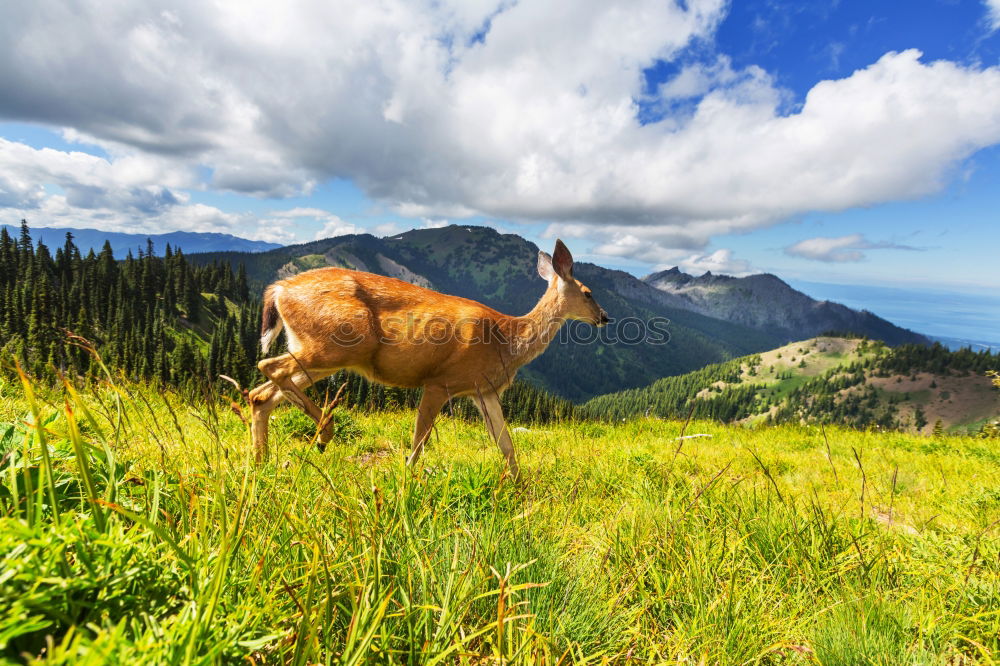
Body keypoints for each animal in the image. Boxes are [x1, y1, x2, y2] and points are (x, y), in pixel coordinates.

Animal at [250, 239, 608, 478]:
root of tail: (279, 290)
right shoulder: (439, 382)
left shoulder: (483, 390)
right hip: (333, 345)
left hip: (324, 353)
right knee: (267, 367)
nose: (605, 317)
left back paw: (261, 463)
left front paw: (520, 489)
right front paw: (406, 480)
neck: (507, 340)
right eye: (588, 292)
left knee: (261, 394)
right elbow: (419, 442)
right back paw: (324, 433)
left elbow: (506, 445)